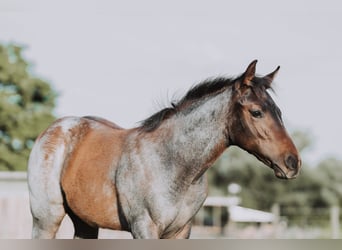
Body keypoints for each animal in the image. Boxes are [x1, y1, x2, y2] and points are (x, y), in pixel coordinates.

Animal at [27, 60, 300, 238]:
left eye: (278, 111)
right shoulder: (144, 228)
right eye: (256, 112)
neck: (172, 164)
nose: (293, 163)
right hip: (46, 220)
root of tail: (52, 130)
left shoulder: (181, 231)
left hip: (86, 223)